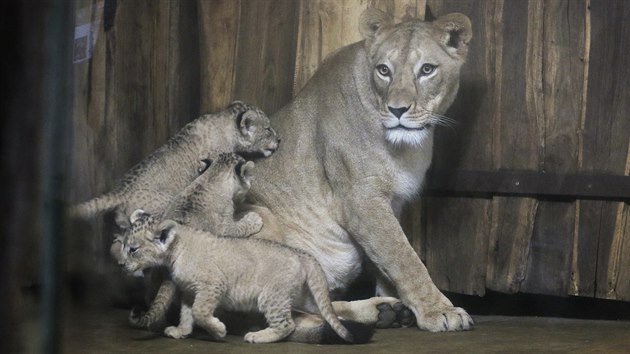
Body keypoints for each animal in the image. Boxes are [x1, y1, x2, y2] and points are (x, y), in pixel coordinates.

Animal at [246, 6, 474, 336]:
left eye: (427, 69)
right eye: (384, 70)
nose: (397, 109)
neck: (405, 148)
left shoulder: (393, 201)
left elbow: (387, 259)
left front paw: (398, 300)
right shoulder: (361, 200)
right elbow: (405, 257)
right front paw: (439, 311)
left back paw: (384, 312)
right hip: (259, 219)